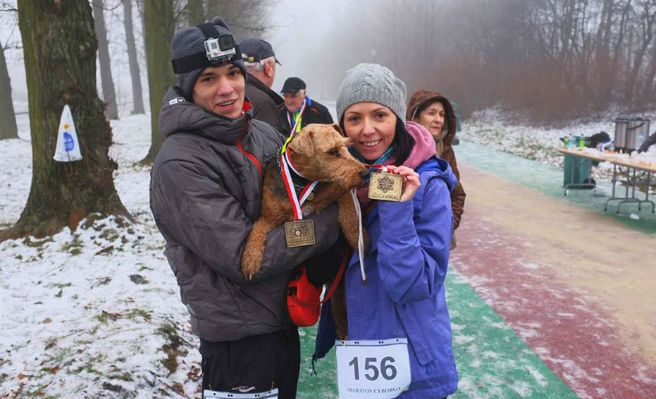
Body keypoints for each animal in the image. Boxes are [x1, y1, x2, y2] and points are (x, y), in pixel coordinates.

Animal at [243, 123, 372, 280]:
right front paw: (250, 261)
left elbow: (350, 217)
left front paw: (360, 240)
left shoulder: (340, 190)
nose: (366, 173)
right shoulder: (269, 217)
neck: (302, 182)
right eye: (332, 151)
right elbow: (257, 229)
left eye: (346, 147)